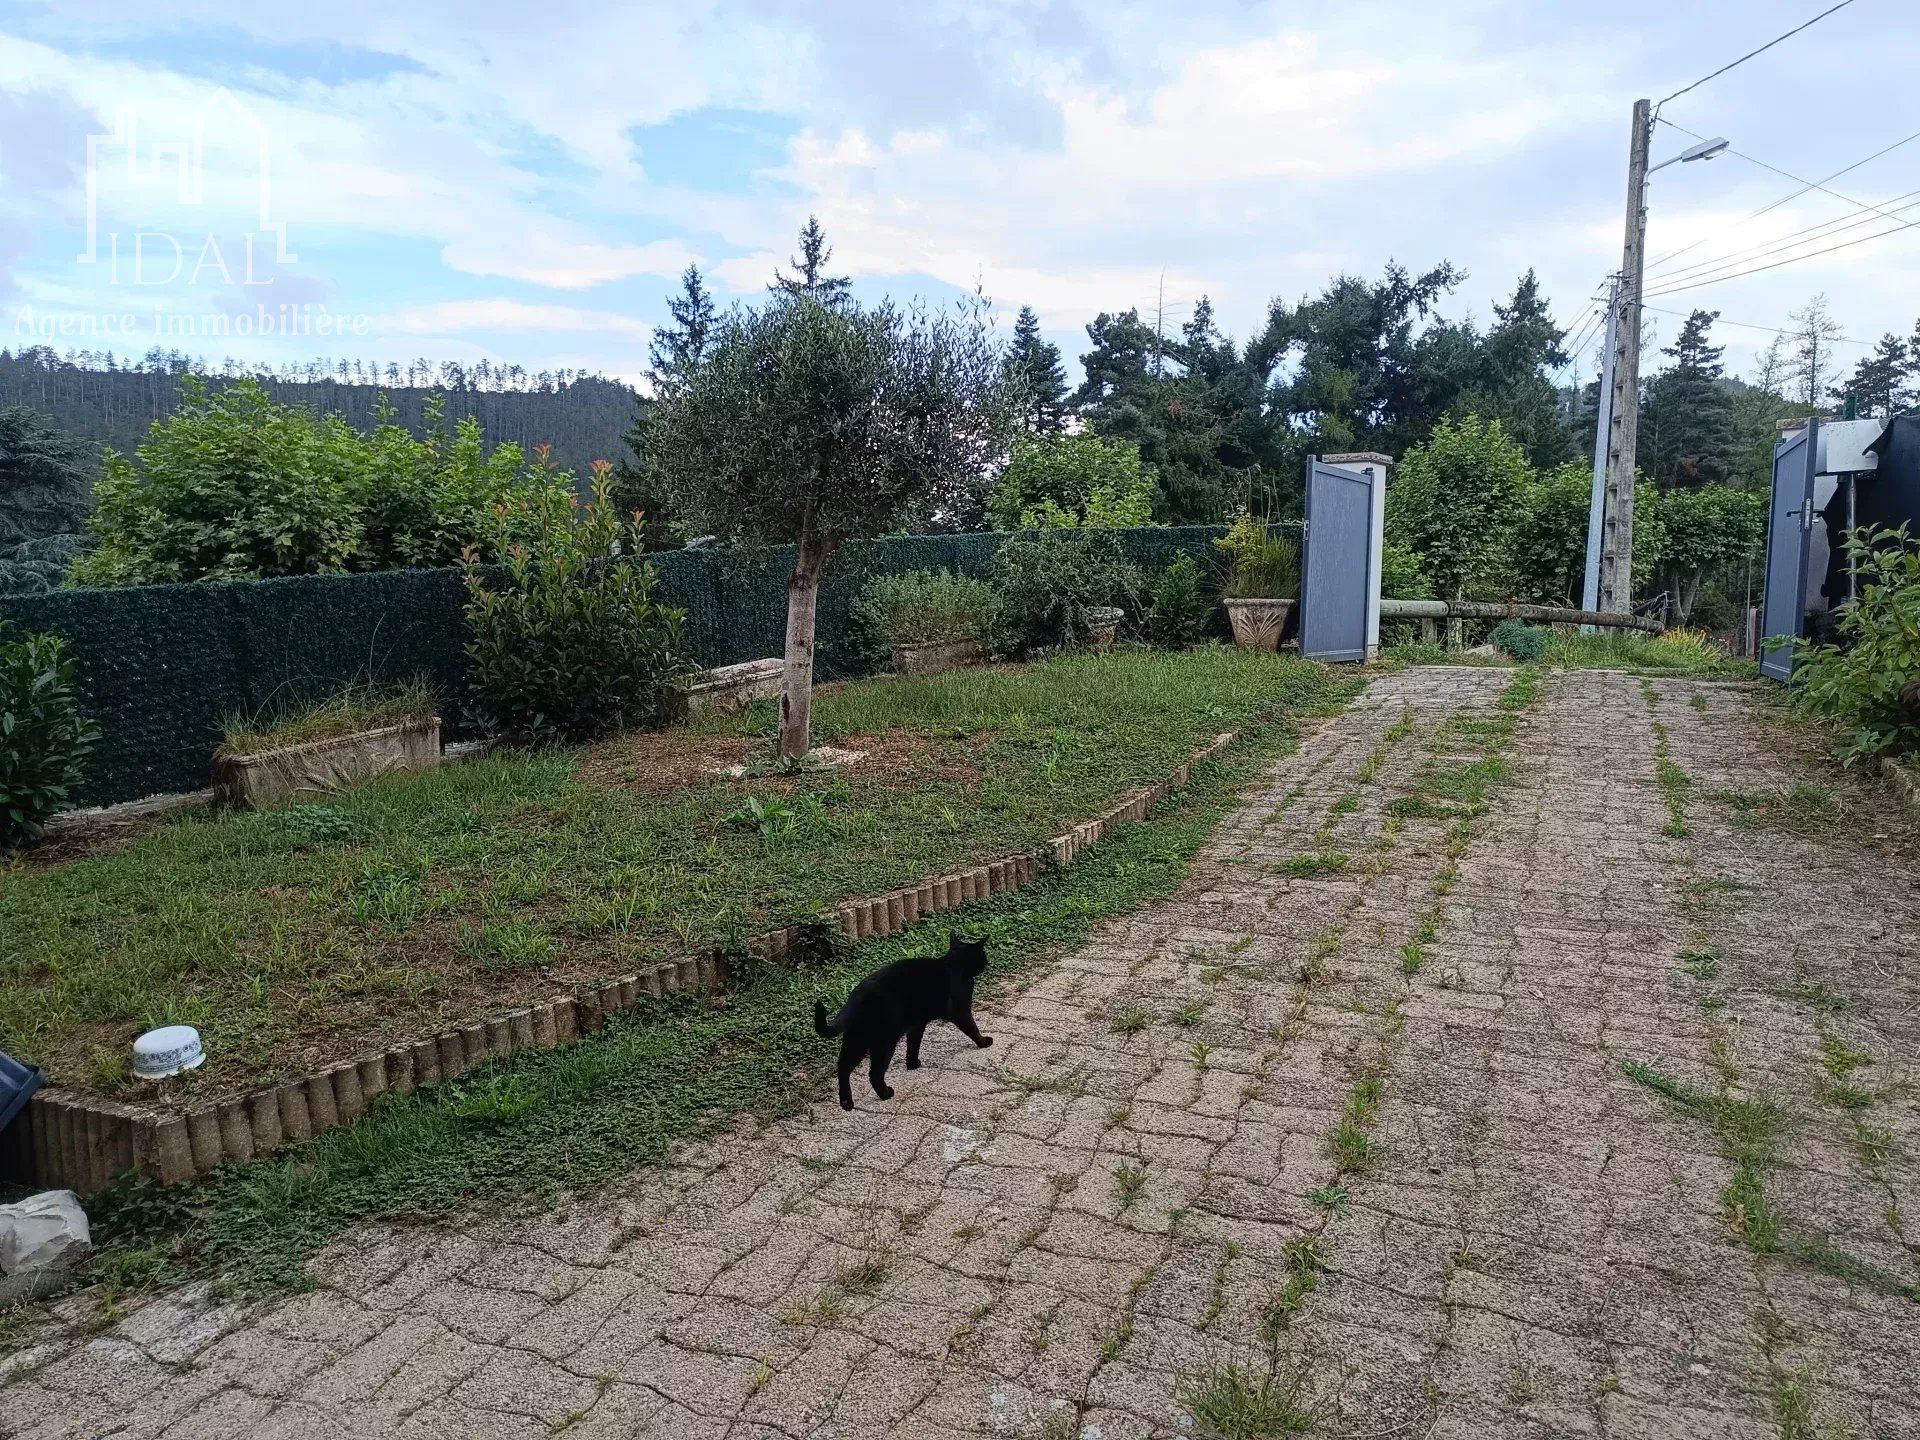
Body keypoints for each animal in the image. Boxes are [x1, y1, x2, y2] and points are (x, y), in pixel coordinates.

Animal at [814, 940, 998, 1113]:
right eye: (983, 954)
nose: (987, 961)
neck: (954, 963)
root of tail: (857, 994)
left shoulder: (917, 1025)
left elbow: (913, 1045)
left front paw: (912, 1063)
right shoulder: (960, 1011)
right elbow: (972, 1028)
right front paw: (984, 1042)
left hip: (857, 1039)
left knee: (843, 1067)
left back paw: (846, 1102)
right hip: (884, 1041)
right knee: (874, 1073)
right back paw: (886, 1094)